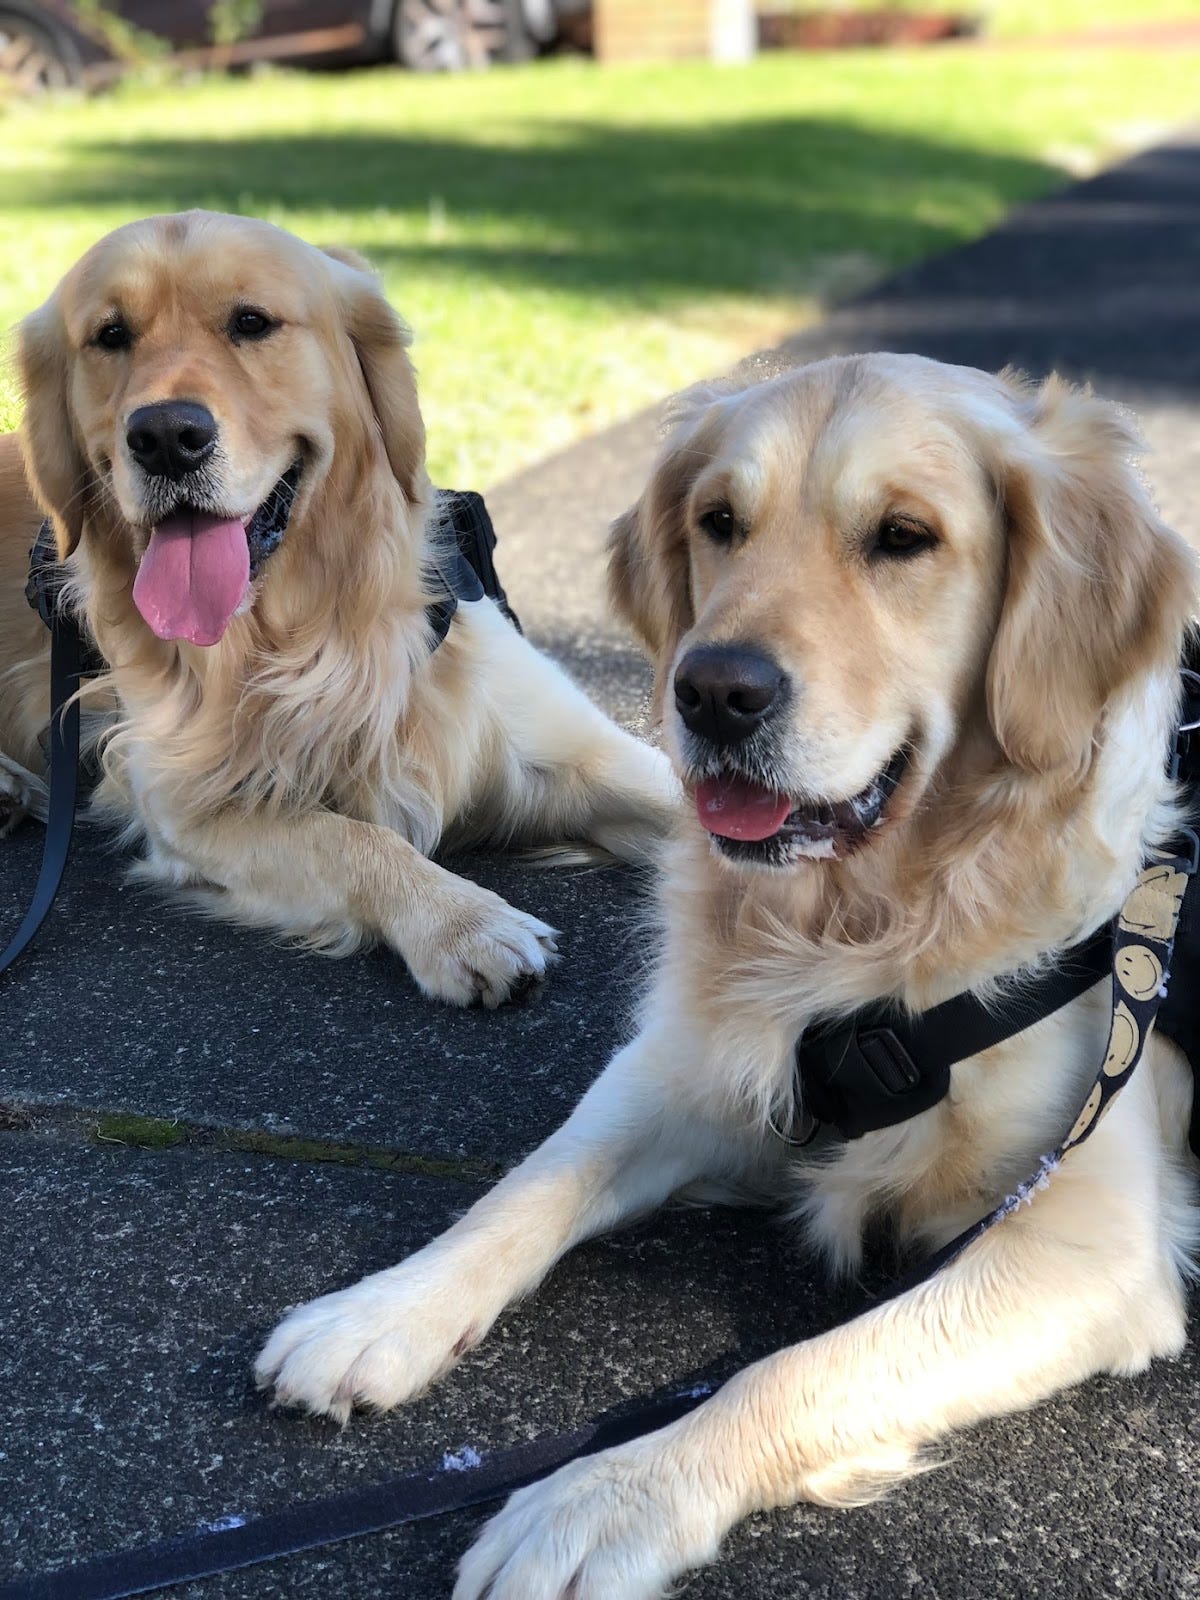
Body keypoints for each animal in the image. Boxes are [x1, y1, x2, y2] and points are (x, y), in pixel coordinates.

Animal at [0, 212, 678, 1004]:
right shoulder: (188, 806)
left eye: (252, 322)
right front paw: (462, 921)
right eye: (110, 336)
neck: (307, 633)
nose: (166, 437)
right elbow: (351, 837)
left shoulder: (570, 748)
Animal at [259, 356, 1200, 1593]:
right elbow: (526, 1190)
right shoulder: (684, 1069)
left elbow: (794, 1367)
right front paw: (381, 1311)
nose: (712, 692)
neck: (862, 918)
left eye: (904, 537)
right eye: (719, 522)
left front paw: (599, 1499)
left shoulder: (1088, 1242)